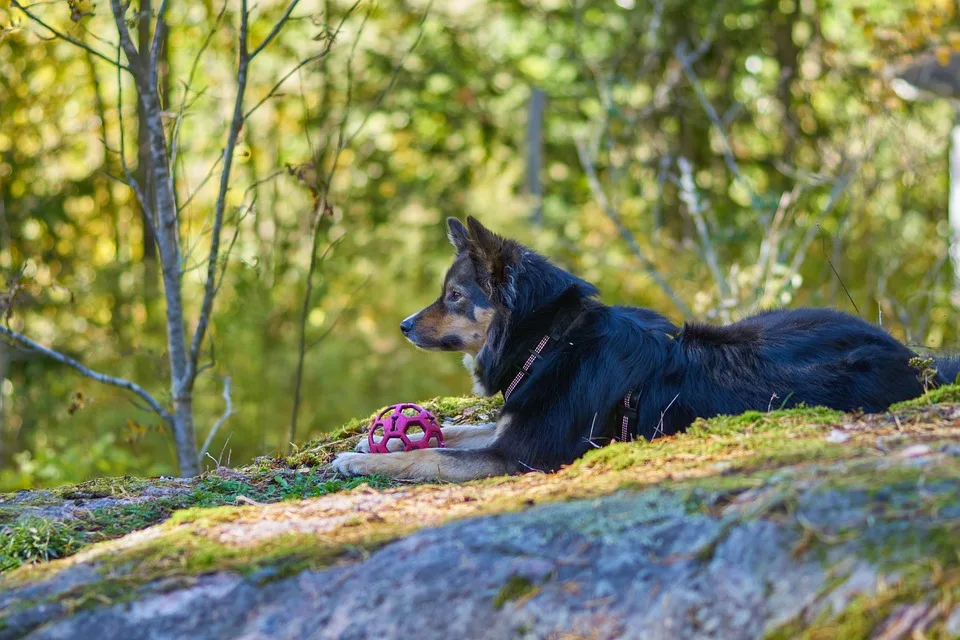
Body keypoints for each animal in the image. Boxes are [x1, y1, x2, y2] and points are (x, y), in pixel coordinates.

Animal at [332, 216, 960, 480]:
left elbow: (434, 455)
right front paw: (380, 443)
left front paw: (362, 459)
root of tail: (913, 357)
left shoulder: (522, 455)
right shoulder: (514, 423)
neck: (549, 342)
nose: (403, 325)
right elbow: (455, 431)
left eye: (454, 296)